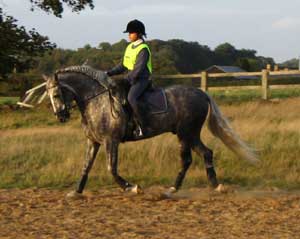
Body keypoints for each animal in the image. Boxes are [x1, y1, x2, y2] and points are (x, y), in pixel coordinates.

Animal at [44, 65, 258, 196]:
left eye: (56, 94)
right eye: (48, 94)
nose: (60, 116)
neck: (96, 101)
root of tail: (202, 93)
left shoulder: (111, 141)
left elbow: (111, 168)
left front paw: (132, 188)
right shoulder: (93, 141)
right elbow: (86, 166)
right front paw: (76, 191)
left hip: (186, 133)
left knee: (193, 157)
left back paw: (187, 188)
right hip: (188, 134)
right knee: (201, 155)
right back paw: (200, 187)